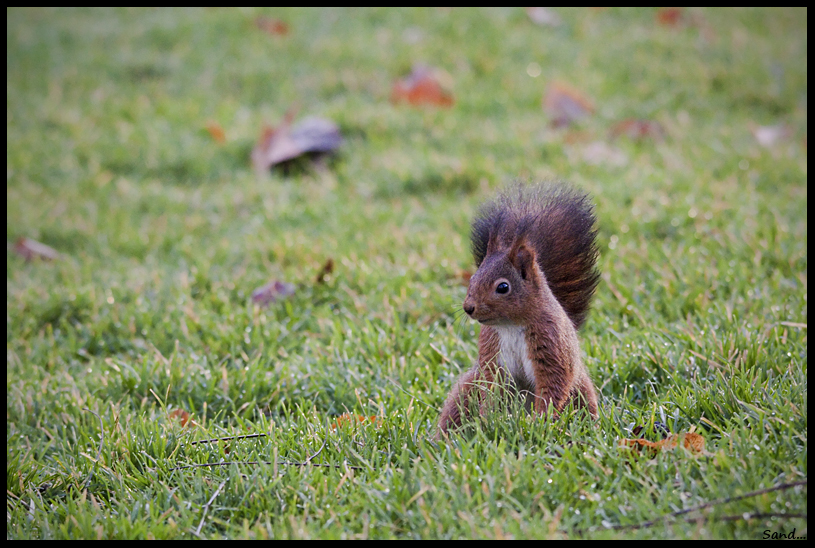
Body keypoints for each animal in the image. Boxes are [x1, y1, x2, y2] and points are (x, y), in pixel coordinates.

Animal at [440, 183, 600, 436]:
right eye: (472, 279)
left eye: (503, 287)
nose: (468, 308)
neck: (511, 325)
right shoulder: (492, 354)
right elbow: (491, 389)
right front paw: (488, 418)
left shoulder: (550, 342)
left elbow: (552, 386)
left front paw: (538, 421)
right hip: (466, 389)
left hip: (580, 392)